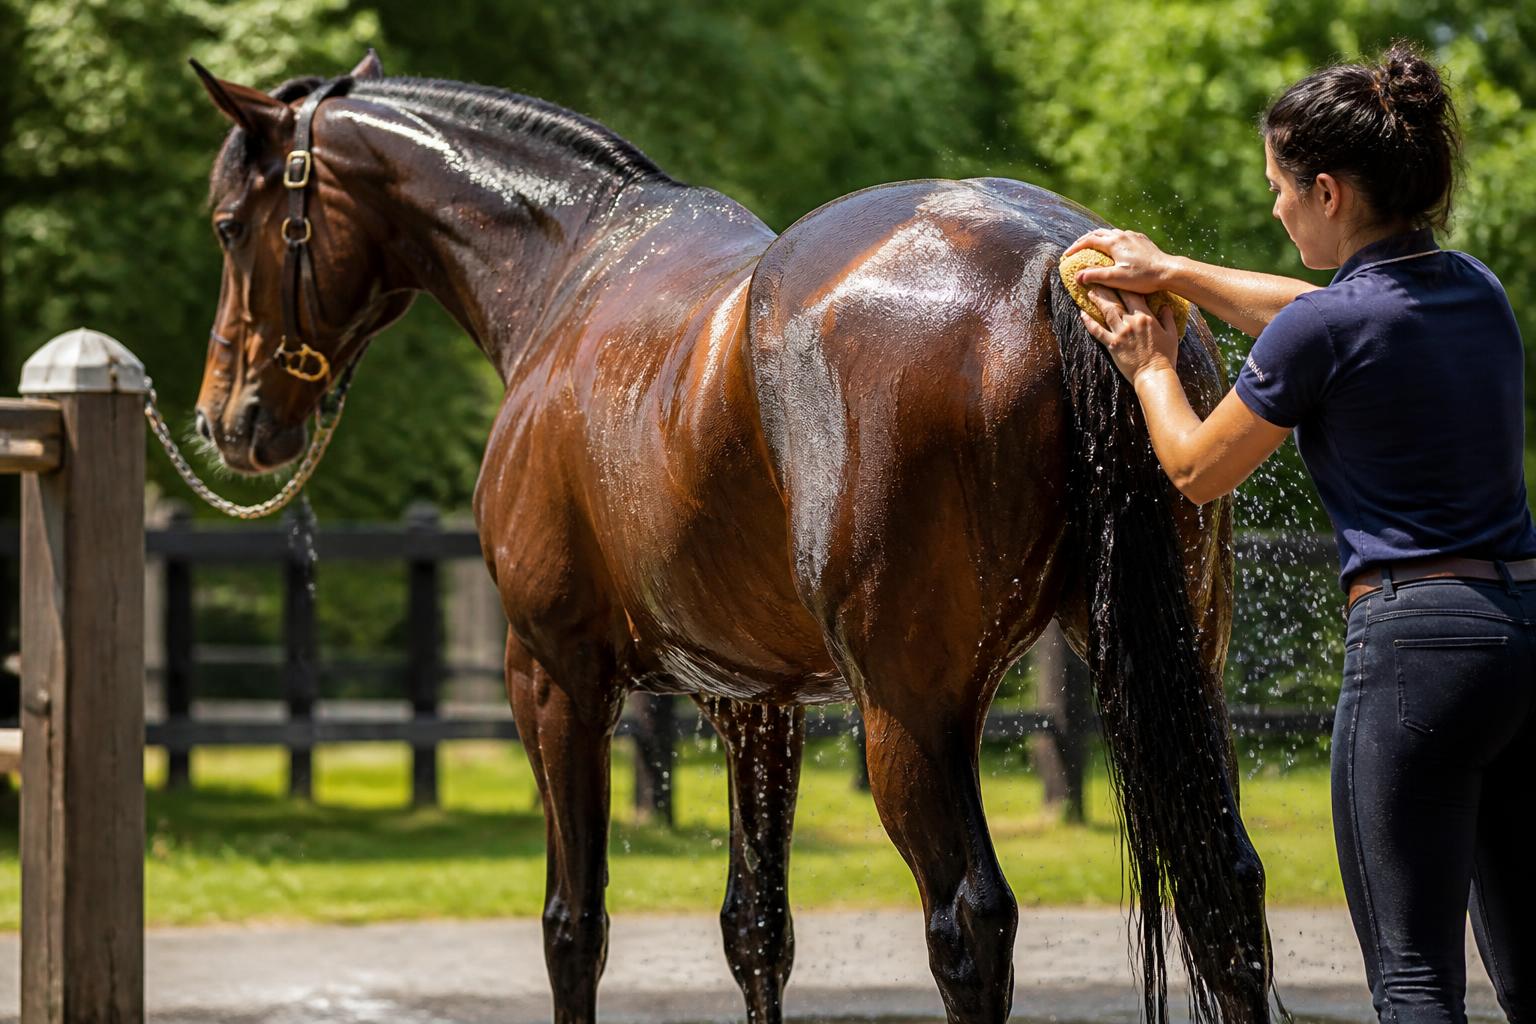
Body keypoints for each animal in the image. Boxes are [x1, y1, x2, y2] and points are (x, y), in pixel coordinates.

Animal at [189, 52, 1274, 1024]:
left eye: (230, 225)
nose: (226, 420)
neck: (572, 268)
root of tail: (1061, 260)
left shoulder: (554, 677)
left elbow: (573, 926)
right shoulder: (757, 706)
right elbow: (757, 931)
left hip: (911, 716)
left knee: (970, 925)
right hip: (1171, 671)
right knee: (1227, 894)